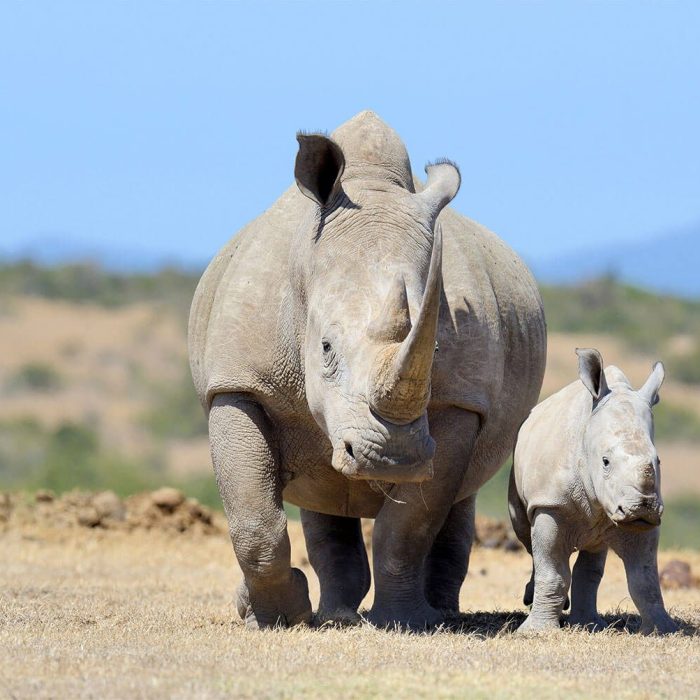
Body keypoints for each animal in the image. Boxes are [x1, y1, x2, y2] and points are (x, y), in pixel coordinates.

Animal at [188, 111, 546, 628]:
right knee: (322, 491)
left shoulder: (459, 403)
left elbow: (408, 527)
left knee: (458, 497)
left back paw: (438, 612)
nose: (391, 457)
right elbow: (253, 520)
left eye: (436, 347)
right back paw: (332, 613)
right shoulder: (238, 383)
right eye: (325, 348)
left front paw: (409, 622)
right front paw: (275, 616)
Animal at [509, 348, 678, 634]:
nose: (642, 506)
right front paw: (535, 632)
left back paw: (588, 624)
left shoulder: (642, 520)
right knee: (527, 536)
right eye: (605, 461)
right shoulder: (550, 502)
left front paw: (663, 630)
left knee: (593, 550)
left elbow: (645, 579)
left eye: (658, 462)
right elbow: (551, 570)